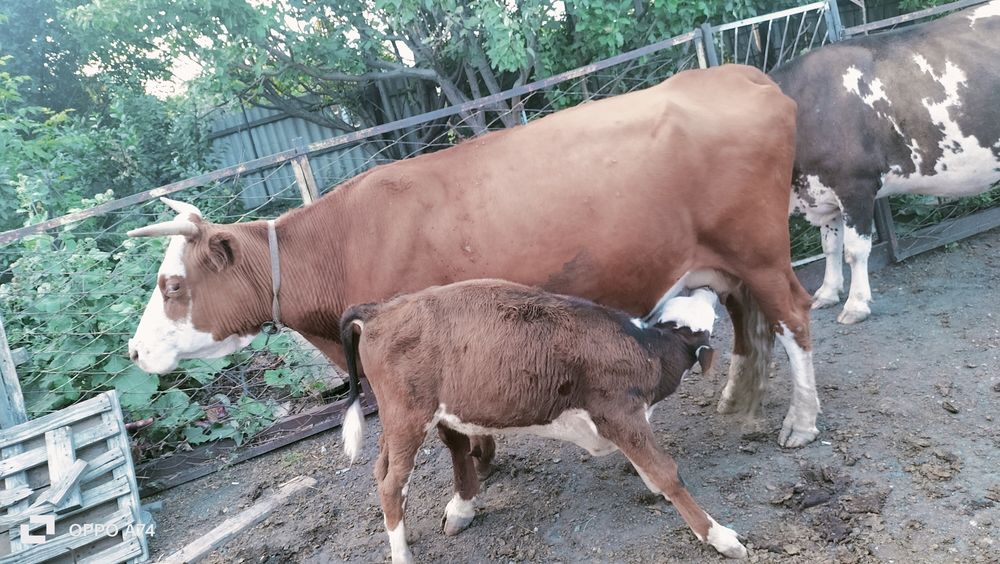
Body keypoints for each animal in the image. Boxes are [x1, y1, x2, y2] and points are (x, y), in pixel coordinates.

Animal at [126, 64, 821, 453]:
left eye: (172, 285)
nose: (133, 351)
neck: (341, 244)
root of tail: (738, 73)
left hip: (760, 250)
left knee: (794, 315)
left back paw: (802, 422)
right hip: (724, 260)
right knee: (747, 319)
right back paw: (737, 402)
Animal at [338, 281, 747, 562]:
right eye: (709, 323)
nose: (710, 286)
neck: (649, 347)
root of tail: (380, 309)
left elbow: (650, 470)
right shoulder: (618, 413)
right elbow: (666, 473)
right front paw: (720, 537)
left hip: (394, 420)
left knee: (381, 469)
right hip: (409, 416)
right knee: (392, 485)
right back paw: (402, 553)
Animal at [772, 0, 1000, 324]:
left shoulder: (855, 185)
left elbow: (854, 250)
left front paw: (856, 304)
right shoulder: (822, 190)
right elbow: (830, 246)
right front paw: (827, 293)